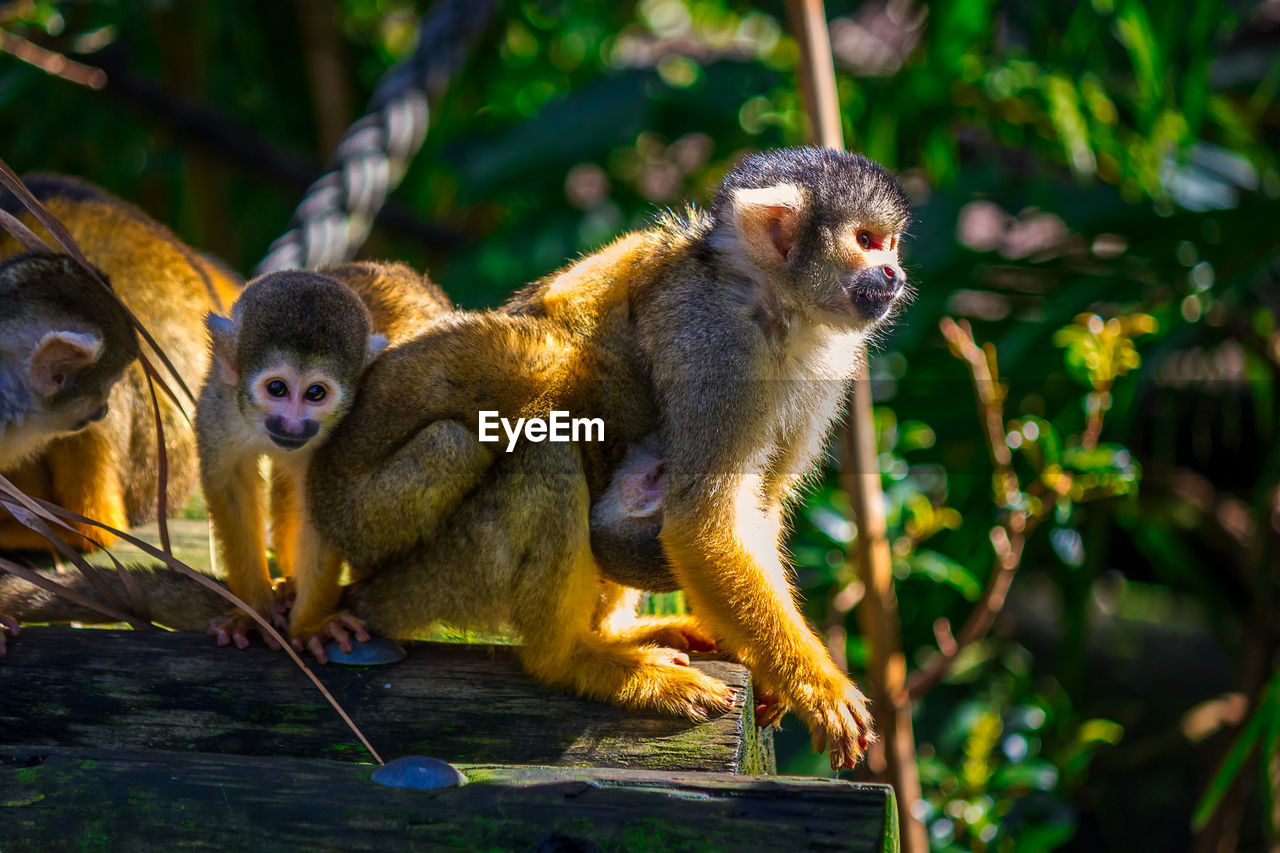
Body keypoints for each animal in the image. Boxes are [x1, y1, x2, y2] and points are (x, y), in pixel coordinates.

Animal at [308, 147, 911, 768]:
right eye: (865, 240)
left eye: (890, 244)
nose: (894, 272)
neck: (777, 307)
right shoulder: (716, 346)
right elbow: (703, 520)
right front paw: (818, 687)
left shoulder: (827, 364)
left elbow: (759, 505)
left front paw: (777, 676)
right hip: (444, 566)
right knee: (548, 414)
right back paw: (574, 658)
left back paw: (618, 635)